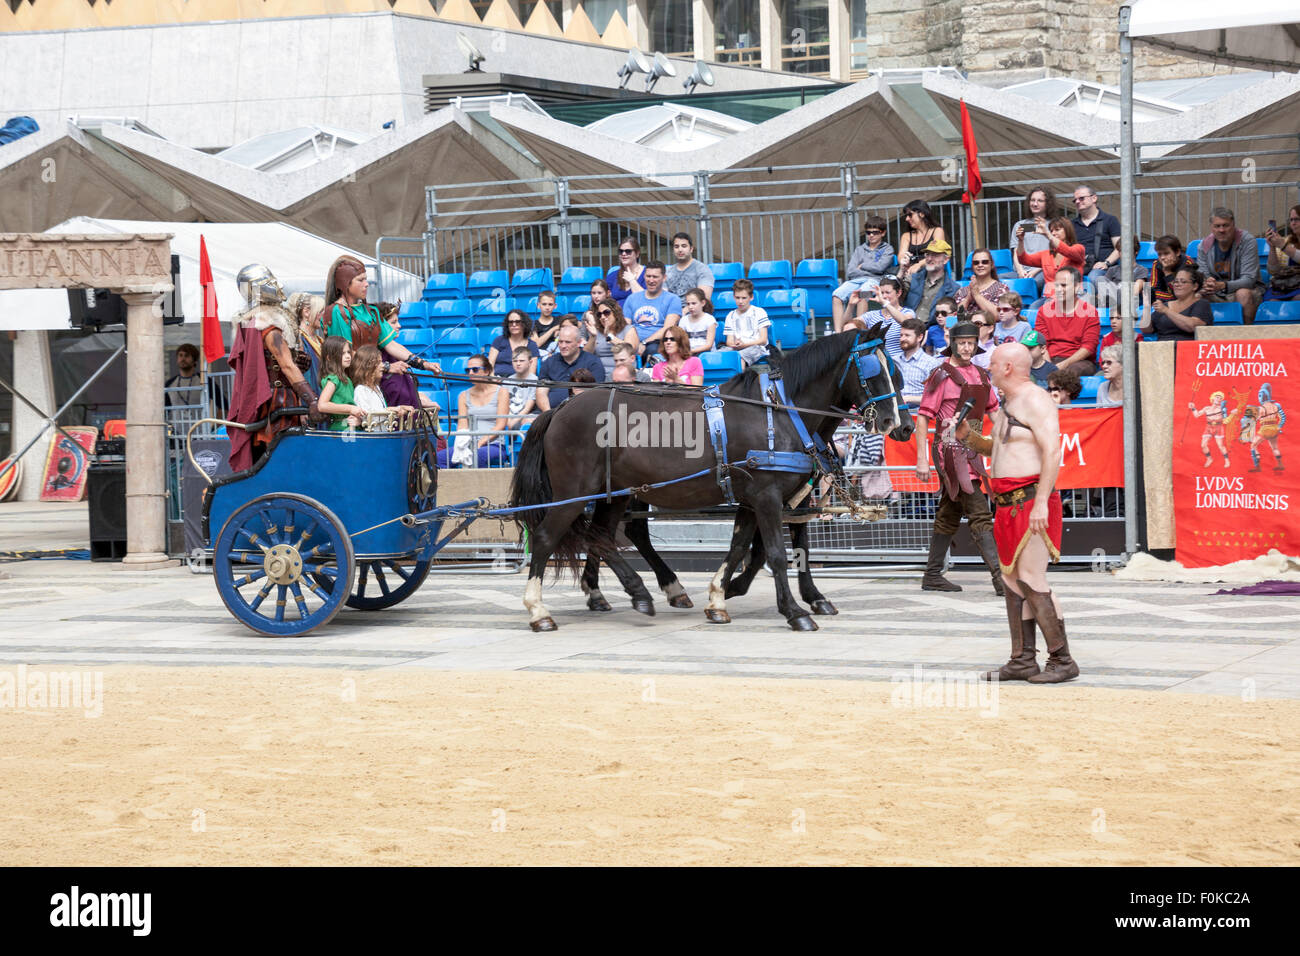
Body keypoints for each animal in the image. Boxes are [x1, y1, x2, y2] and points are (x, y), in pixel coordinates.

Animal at [506, 329, 915, 634]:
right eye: (873, 371)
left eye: (897, 372)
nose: (902, 426)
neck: (781, 412)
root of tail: (561, 408)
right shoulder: (767, 496)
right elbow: (776, 553)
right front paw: (795, 611)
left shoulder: (761, 498)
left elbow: (743, 548)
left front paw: (721, 595)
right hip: (575, 493)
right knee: (551, 537)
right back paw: (540, 610)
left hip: (615, 493)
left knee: (603, 536)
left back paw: (637, 592)